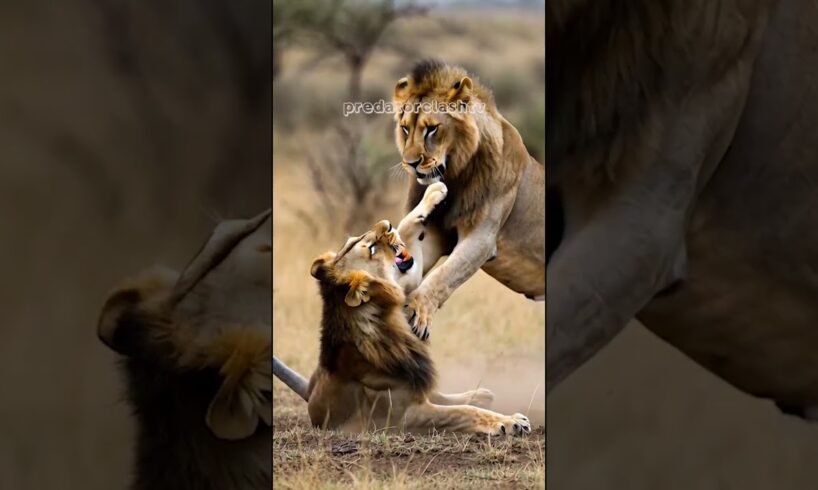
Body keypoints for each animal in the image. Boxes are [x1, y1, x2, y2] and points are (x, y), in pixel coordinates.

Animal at [272, 183, 532, 436]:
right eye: (371, 249)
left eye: (357, 238)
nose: (386, 223)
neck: (388, 315)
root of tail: (311, 389)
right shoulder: (403, 415)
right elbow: (462, 413)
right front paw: (510, 422)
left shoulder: (408, 290)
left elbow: (407, 224)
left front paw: (435, 192)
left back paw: (481, 394)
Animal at [392, 60, 545, 340]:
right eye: (405, 128)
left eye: (432, 129)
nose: (411, 164)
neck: (455, 174)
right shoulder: (434, 234)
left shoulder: (482, 238)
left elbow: (445, 274)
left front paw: (418, 312)